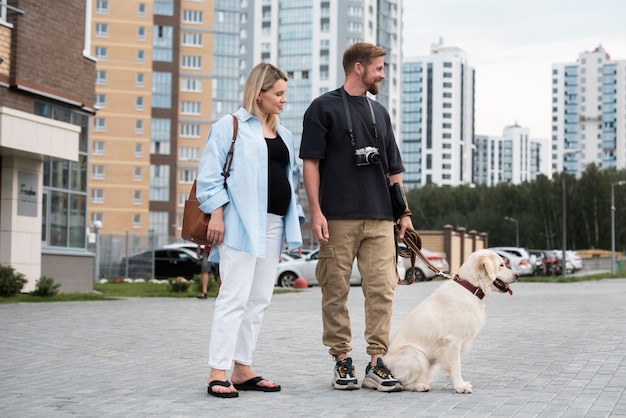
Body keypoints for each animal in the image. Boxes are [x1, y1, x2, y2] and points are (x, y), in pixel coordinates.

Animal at [382, 250, 516, 394]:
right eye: (501, 265)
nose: (517, 275)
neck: (470, 289)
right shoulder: (453, 341)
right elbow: (456, 367)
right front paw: (460, 386)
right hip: (416, 355)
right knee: (402, 383)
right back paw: (421, 385)